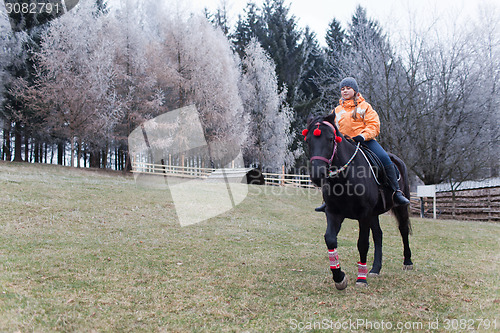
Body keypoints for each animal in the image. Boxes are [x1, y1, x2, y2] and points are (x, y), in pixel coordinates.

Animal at [302, 113, 412, 288]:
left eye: (331, 139)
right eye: (308, 141)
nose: (318, 174)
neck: (345, 179)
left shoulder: (364, 214)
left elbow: (362, 243)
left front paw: (361, 278)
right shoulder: (333, 213)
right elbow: (330, 239)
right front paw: (339, 277)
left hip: (399, 207)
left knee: (403, 230)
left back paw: (407, 262)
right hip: (374, 214)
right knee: (378, 235)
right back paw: (375, 269)